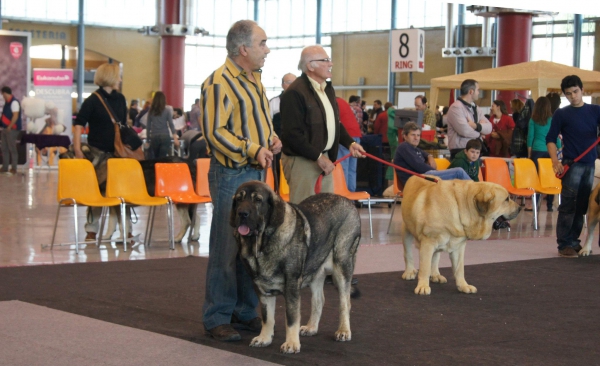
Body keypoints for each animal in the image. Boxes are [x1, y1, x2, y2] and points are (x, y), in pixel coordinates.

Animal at [230, 182, 360, 354]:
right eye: (239, 199)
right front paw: (264, 338)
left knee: (345, 302)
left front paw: (291, 343)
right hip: (315, 271)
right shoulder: (262, 288)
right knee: (319, 300)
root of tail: (347, 201)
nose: (242, 213)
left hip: (342, 264)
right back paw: (311, 327)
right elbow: (267, 317)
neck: (263, 242)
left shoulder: (291, 286)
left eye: (258, 200)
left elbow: (291, 318)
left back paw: (343, 330)